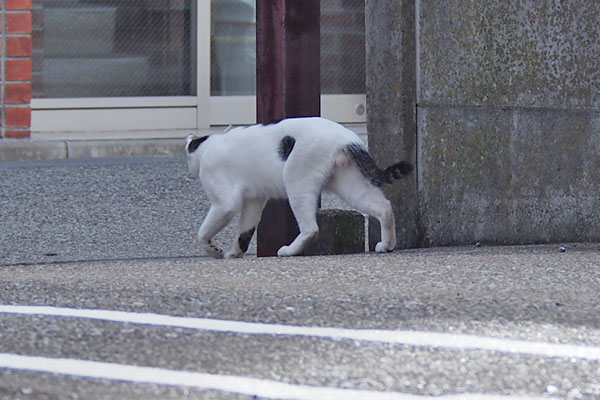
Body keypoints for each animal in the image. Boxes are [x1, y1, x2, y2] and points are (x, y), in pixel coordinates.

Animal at [186, 117, 412, 258]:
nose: (189, 171)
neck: (208, 146)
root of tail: (345, 137)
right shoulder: (254, 200)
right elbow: (245, 231)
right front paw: (235, 253)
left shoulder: (225, 203)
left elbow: (203, 233)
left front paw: (214, 250)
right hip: (350, 184)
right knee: (384, 207)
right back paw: (387, 245)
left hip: (297, 182)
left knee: (311, 228)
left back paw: (289, 250)